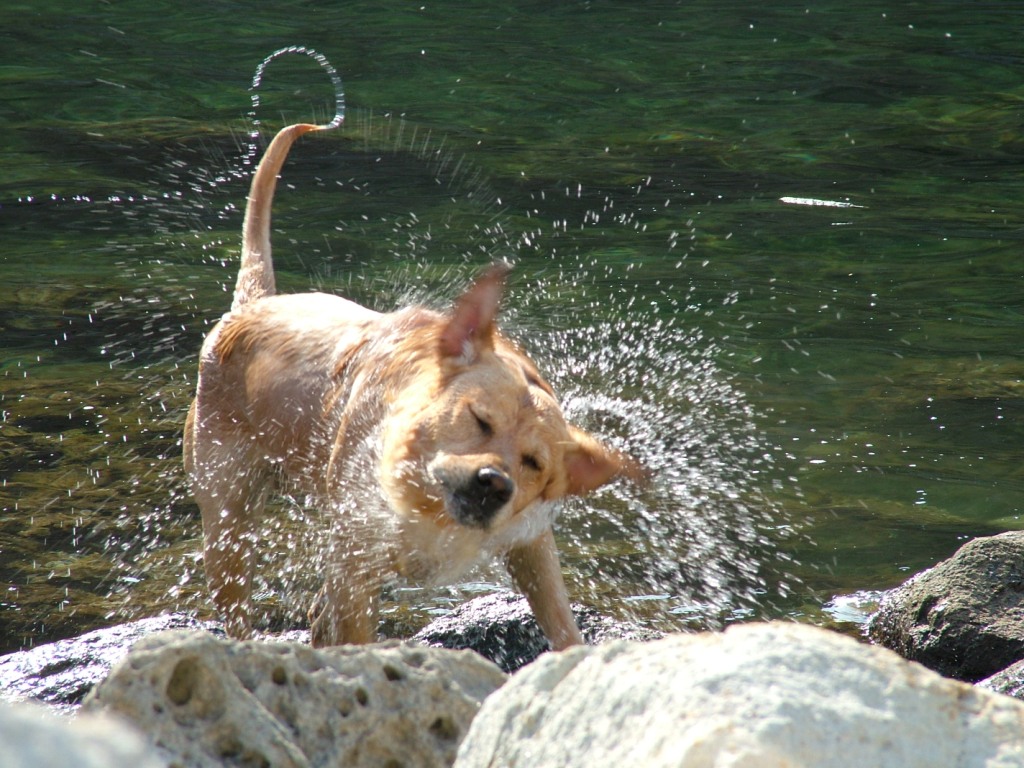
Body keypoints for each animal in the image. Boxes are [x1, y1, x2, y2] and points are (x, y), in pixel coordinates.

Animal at [183, 123, 643, 651]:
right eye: (478, 418)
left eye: (534, 464)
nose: (494, 483)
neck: (428, 503)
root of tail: (249, 308)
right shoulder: (356, 555)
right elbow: (355, 632)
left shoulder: (530, 543)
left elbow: (562, 621)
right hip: (227, 522)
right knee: (242, 609)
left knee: (318, 614)